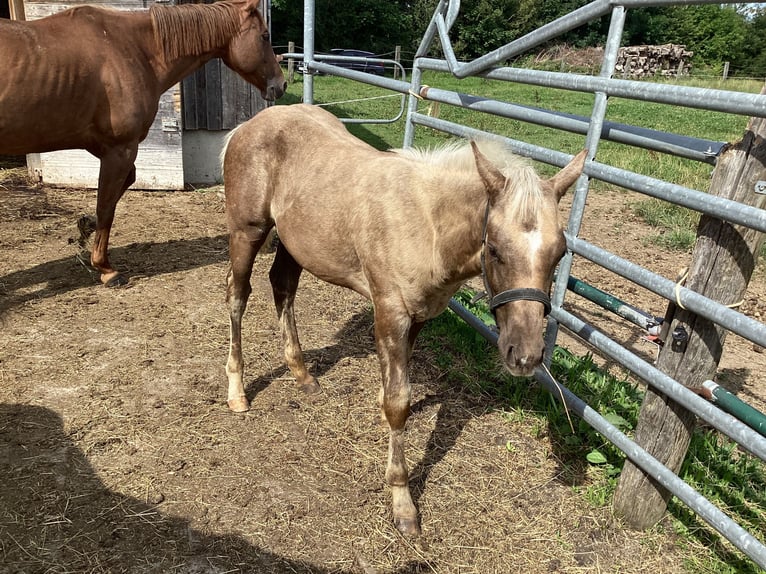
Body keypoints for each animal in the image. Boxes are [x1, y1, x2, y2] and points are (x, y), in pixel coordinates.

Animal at [0, 0, 285, 286]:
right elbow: (106, 205)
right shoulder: (120, 150)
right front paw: (105, 268)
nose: (280, 84)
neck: (130, 48)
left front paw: (86, 226)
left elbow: (119, 190)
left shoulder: (108, 149)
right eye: (264, 36)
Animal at [222, 103, 586, 536]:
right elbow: (399, 402)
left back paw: (302, 374)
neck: (426, 224)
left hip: (296, 242)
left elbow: (395, 393)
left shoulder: (420, 315)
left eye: (560, 252)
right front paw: (403, 504)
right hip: (247, 231)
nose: (526, 355)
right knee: (237, 296)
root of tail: (248, 125)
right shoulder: (390, 312)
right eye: (495, 249)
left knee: (282, 285)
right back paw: (237, 391)